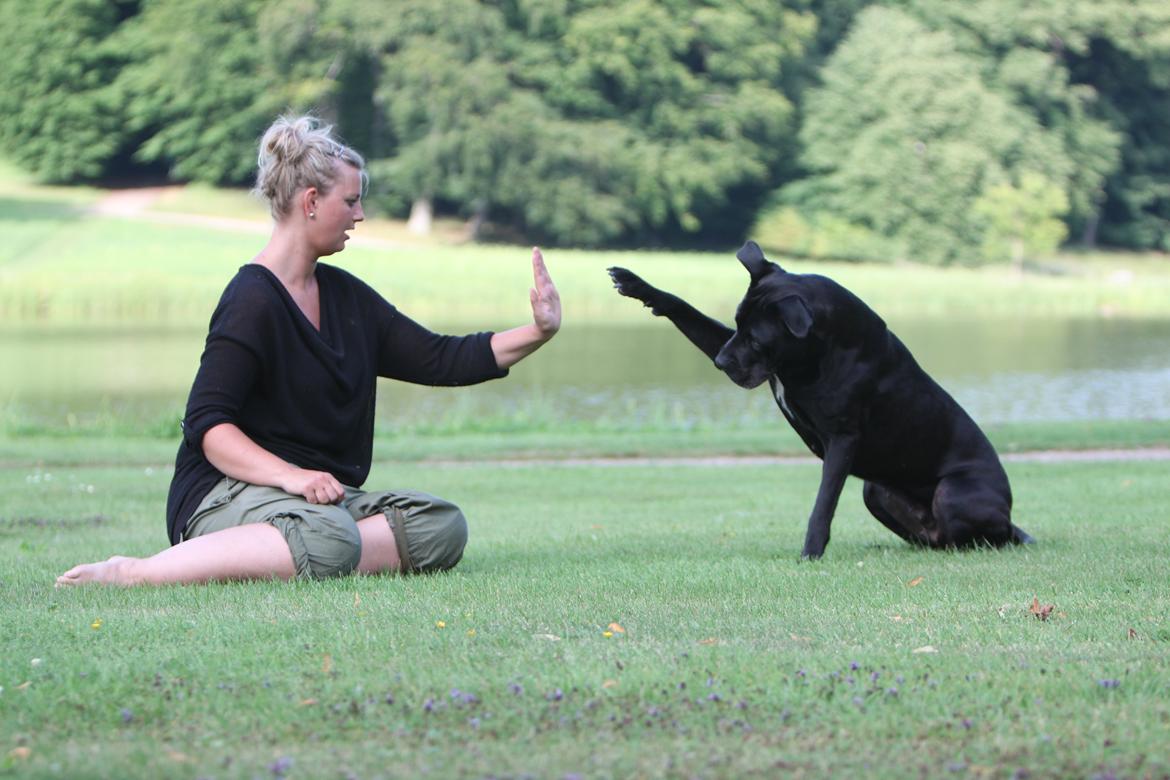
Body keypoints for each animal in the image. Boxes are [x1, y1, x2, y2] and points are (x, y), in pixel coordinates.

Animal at [613, 240, 1034, 558]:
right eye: (736, 324)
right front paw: (638, 285)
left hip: (952, 493)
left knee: (977, 538)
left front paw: (810, 553)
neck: (815, 347)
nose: (721, 363)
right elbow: (687, 311)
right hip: (876, 491)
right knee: (933, 537)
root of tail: (1010, 517)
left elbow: (823, 504)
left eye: (757, 340)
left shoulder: (842, 439)